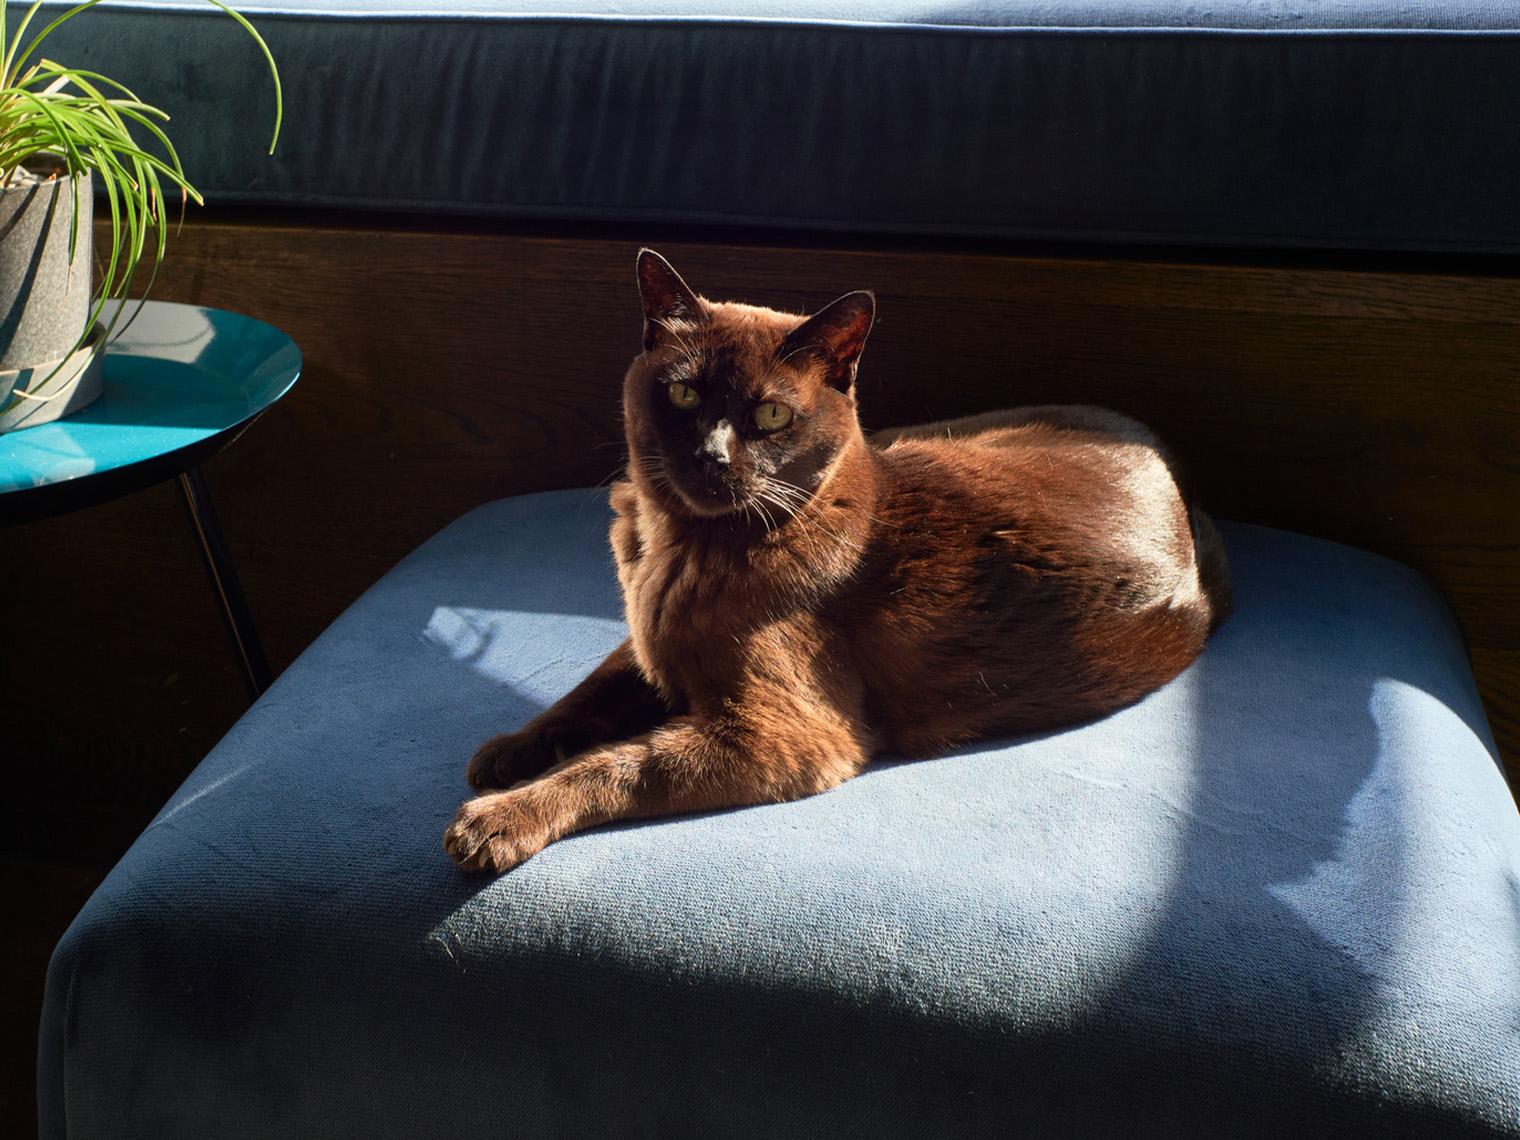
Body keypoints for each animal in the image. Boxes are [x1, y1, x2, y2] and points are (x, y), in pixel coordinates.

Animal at [443, 252, 1234, 875]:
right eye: (684, 393)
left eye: (769, 416)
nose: (711, 458)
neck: (674, 548)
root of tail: (1182, 488)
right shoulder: (648, 651)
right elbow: (583, 694)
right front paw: (504, 755)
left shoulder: (778, 735)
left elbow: (619, 762)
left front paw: (493, 821)